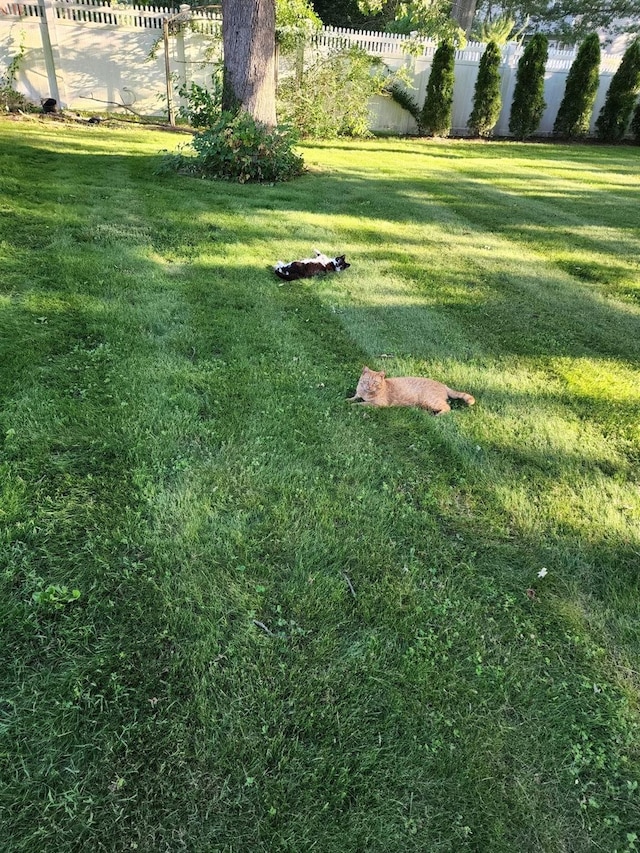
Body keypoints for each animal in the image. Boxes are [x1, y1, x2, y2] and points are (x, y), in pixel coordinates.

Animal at [344, 366, 476, 416]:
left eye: (375, 383)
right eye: (366, 381)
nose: (369, 387)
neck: (365, 393)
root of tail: (443, 385)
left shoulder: (379, 404)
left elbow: (362, 403)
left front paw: (354, 405)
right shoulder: (358, 394)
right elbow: (354, 397)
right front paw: (346, 400)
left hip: (430, 400)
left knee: (447, 407)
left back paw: (438, 415)